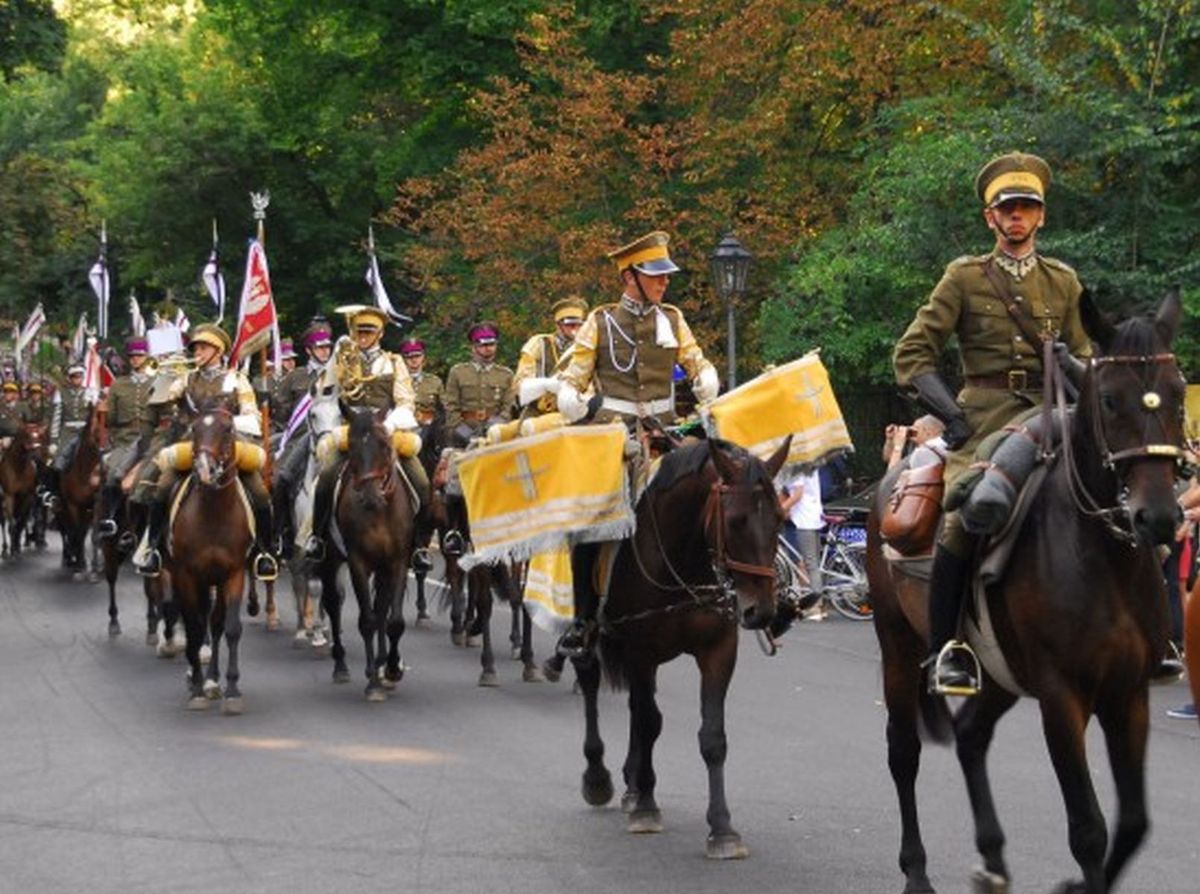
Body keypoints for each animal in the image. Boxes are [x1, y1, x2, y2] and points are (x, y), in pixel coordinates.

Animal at [0, 424, 38, 556]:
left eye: (38, 434)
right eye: (26, 434)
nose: (35, 448)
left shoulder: (26, 496)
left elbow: (21, 520)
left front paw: (17, 544)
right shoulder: (9, 495)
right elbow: (12, 522)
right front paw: (12, 548)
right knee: (4, 521)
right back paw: (6, 547)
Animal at [168, 410, 254, 710]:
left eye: (227, 429)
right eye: (193, 429)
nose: (204, 469)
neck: (214, 514)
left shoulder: (234, 572)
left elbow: (231, 627)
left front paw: (232, 689)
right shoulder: (186, 575)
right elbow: (194, 628)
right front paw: (196, 687)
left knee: (215, 623)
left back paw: (213, 680)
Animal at [316, 408, 420, 700]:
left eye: (384, 445)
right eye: (351, 447)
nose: (371, 497)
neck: (379, 513)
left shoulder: (398, 561)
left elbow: (393, 620)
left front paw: (392, 668)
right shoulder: (357, 562)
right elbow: (367, 620)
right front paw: (373, 681)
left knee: (382, 607)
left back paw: (384, 663)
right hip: (330, 560)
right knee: (333, 602)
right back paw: (341, 665)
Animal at [571, 436, 787, 859]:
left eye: (781, 520)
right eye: (735, 521)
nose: (762, 612)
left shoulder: (718, 651)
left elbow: (712, 737)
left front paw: (722, 829)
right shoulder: (640, 650)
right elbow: (649, 722)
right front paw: (646, 807)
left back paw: (631, 785)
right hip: (596, 632)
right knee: (591, 679)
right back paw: (600, 778)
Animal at [868, 295, 1185, 892]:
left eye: (1179, 391)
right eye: (1109, 399)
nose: (1157, 517)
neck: (1103, 561)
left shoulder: (1129, 694)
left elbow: (1135, 821)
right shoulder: (1063, 698)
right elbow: (1088, 828)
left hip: (997, 675)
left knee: (970, 735)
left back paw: (991, 859)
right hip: (897, 647)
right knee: (903, 752)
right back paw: (916, 870)